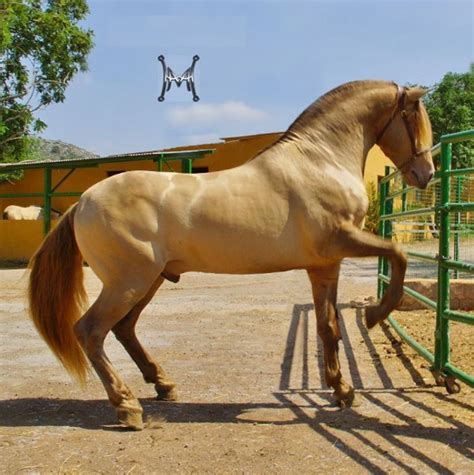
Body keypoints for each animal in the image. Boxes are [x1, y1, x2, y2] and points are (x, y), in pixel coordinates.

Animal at [26, 80, 434, 430]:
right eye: (414, 118)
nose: (426, 174)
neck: (319, 162)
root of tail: (82, 202)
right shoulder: (341, 242)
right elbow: (398, 254)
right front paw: (374, 315)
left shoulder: (324, 266)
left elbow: (328, 326)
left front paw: (342, 390)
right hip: (128, 282)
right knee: (91, 331)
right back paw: (128, 407)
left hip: (148, 280)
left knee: (124, 329)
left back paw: (163, 385)